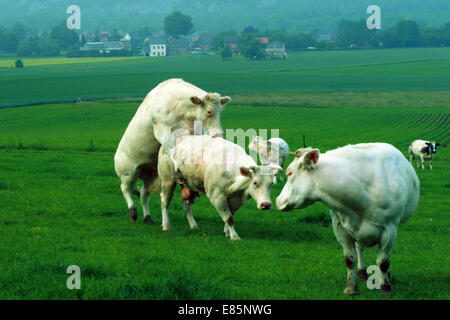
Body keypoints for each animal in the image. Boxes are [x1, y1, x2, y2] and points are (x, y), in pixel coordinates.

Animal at [112, 78, 232, 222]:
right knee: (125, 189)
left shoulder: (194, 131)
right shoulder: (162, 130)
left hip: (149, 176)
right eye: (209, 111)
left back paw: (147, 217)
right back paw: (132, 211)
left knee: (143, 194)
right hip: (128, 173)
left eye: (221, 111)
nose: (218, 134)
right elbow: (172, 149)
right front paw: (178, 170)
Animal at [276, 142, 420, 296]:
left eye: (289, 173)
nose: (278, 200)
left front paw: (385, 287)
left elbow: (383, 262)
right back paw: (362, 271)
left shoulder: (389, 229)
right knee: (360, 247)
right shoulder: (340, 227)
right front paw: (351, 287)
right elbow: (349, 259)